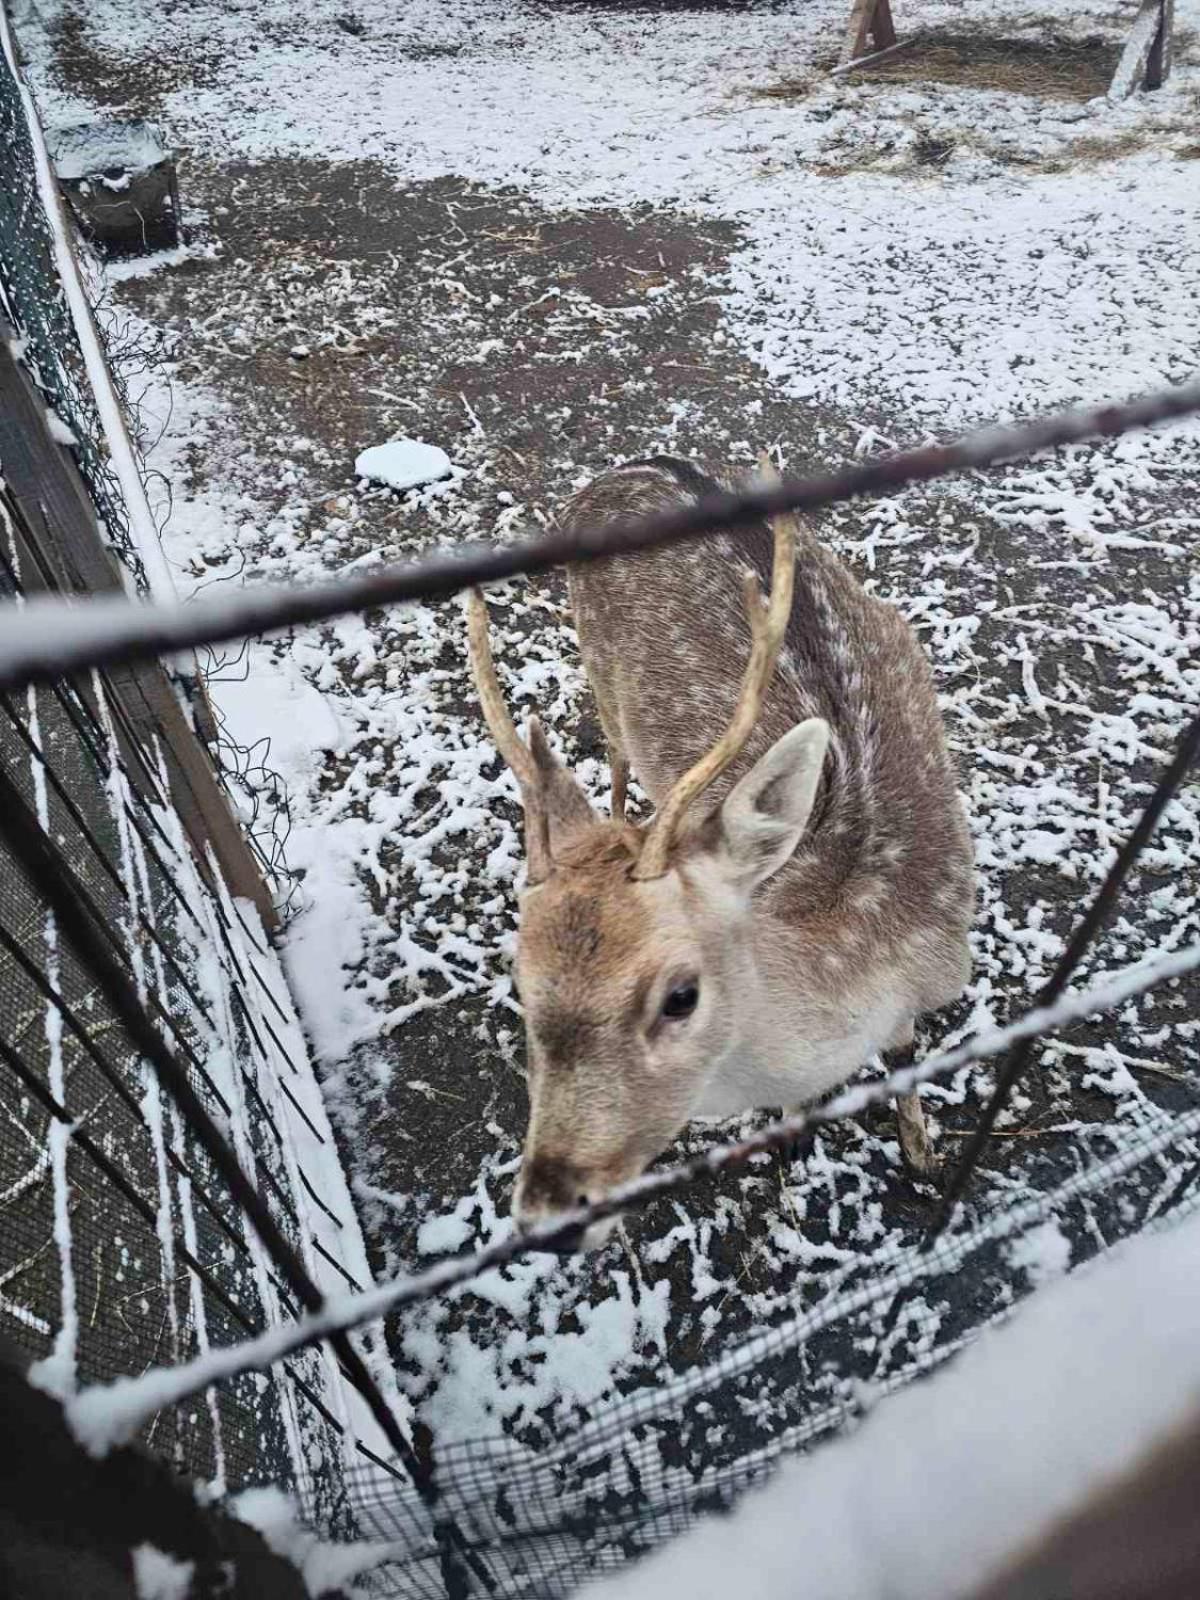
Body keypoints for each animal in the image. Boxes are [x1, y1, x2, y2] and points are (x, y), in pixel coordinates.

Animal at [467, 451, 979, 1248]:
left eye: (681, 995)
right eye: (521, 984)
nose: (548, 1217)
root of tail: (622, 471)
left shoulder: (939, 975)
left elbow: (904, 1054)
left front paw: (924, 1153)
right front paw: (797, 1138)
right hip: (598, 666)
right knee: (615, 758)